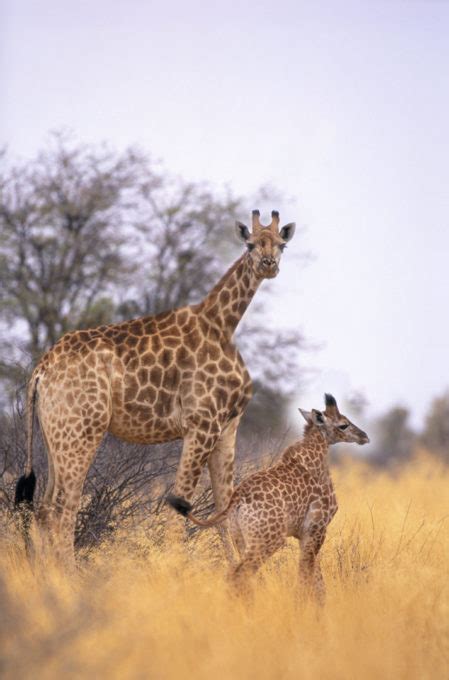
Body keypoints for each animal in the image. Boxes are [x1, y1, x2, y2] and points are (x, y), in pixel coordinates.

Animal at [16, 210, 294, 564]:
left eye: (282, 244)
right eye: (250, 244)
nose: (269, 264)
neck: (223, 326)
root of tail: (41, 370)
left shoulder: (227, 426)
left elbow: (225, 506)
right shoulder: (201, 425)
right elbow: (180, 509)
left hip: (56, 434)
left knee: (44, 507)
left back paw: (47, 572)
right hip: (81, 430)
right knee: (63, 505)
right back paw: (69, 573)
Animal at [168, 394, 368, 600]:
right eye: (343, 425)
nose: (364, 436)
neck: (315, 458)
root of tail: (236, 500)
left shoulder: (306, 534)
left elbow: (318, 582)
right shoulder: (316, 529)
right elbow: (306, 579)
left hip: (241, 537)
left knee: (237, 575)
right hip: (269, 540)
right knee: (238, 575)